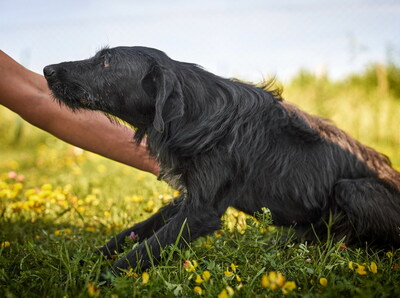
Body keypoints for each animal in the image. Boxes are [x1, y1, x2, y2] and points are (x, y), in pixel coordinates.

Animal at [43, 46, 400, 274]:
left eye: (105, 62)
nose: (47, 70)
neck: (197, 115)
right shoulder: (186, 197)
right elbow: (133, 232)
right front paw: (85, 261)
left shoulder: (201, 212)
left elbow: (142, 252)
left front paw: (96, 281)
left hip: (353, 189)